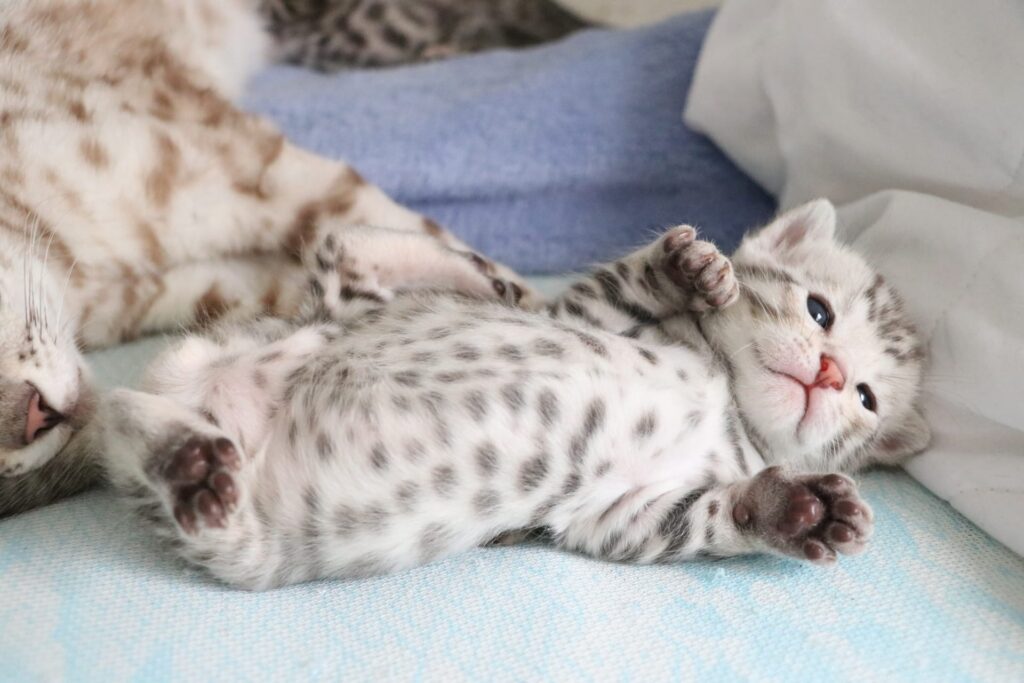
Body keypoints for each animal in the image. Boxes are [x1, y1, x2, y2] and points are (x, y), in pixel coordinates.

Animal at [94, 199, 931, 590]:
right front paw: (688, 270)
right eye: (818, 310)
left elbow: (712, 515)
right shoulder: (591, 315)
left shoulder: (617, 511)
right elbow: (624, 281)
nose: (830, 373)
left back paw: (191, 464)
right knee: (345, 248)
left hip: (245, 537)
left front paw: (802, 509)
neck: (726, 395)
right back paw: (485, 275)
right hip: (328, 319)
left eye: (867, 399)